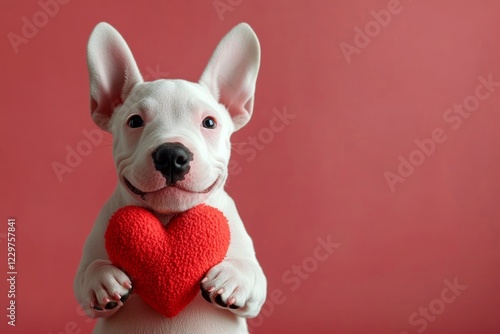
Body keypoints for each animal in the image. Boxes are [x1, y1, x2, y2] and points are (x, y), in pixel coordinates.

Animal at [73, 22, 266, 332]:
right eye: (135, 121)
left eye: (209, 122)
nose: (172, 154)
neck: (167, 218)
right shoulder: (86, 272)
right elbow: (85, 274)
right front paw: (102, 278)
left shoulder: (256, 286)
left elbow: (255, 275)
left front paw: (233, 277)